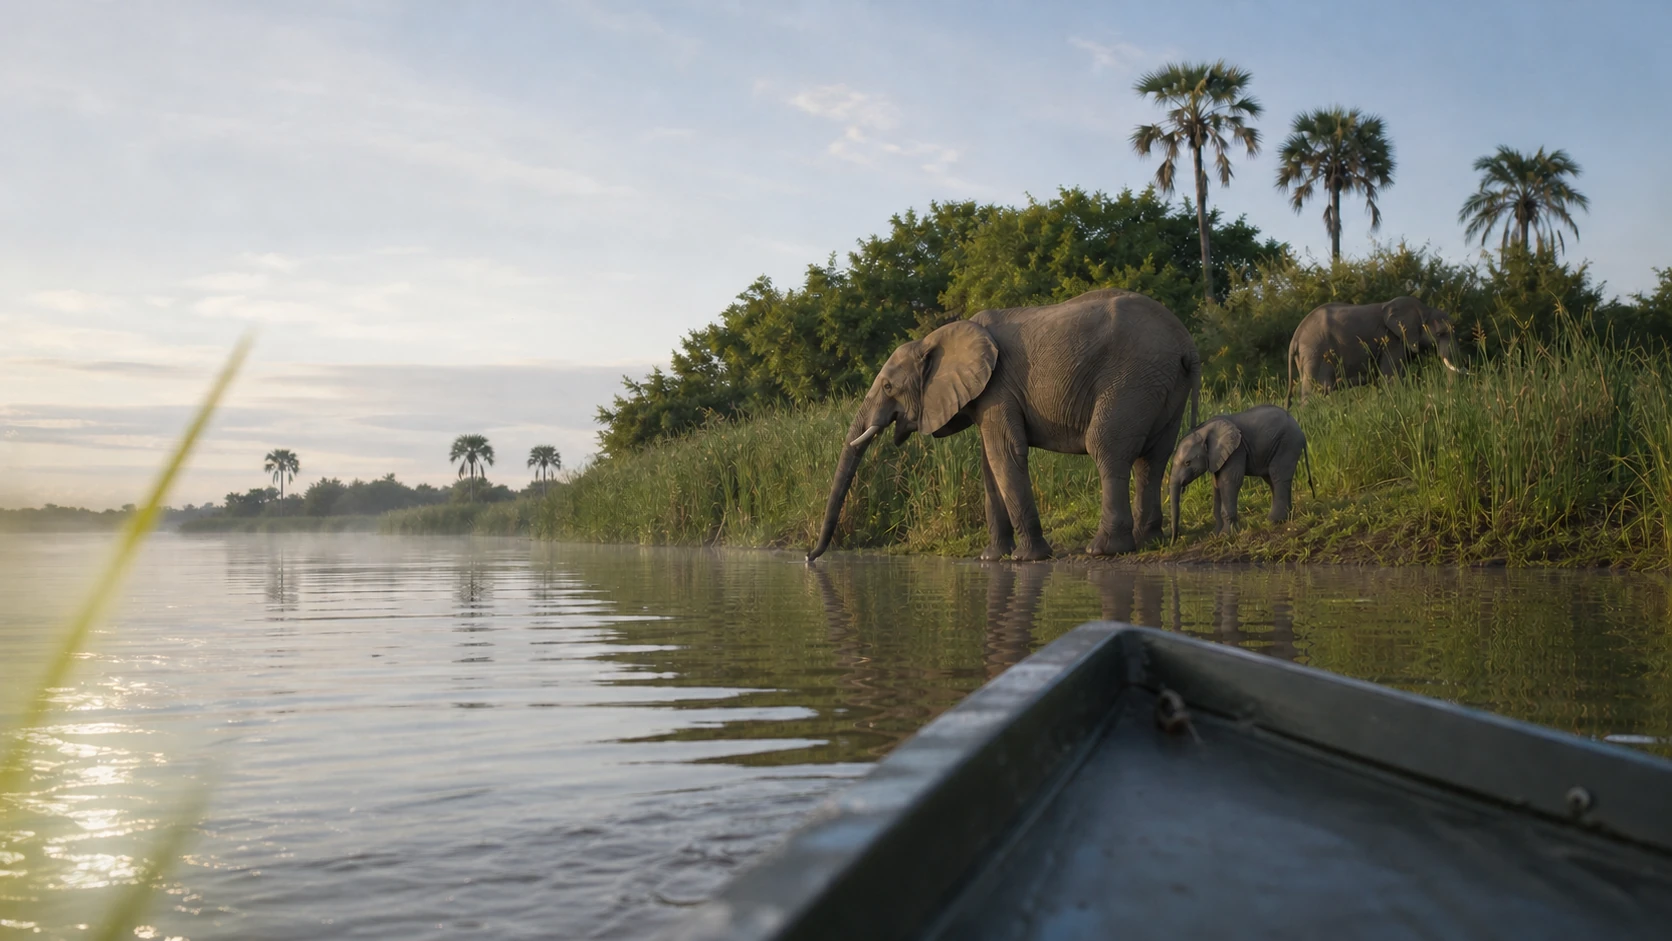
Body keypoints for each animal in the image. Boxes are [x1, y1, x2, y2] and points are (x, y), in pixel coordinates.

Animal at [806, 288, 1201, 563]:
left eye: (889, 387)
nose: (809, 558)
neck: (936, 337)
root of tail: (1186, 343)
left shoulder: (998, 387)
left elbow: (1004, 455)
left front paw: (1026, 559)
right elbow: (987, 464)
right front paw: (991, 558)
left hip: (1131, 380)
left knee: (1106, 448)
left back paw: (1103, 550)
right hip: (1162, 385)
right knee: (1153, 458)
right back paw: (1149, 541)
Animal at [1168, 404, 1313, 539]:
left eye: (1187, 463)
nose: (1176, 538)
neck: (1204, 429)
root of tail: (1300, 430)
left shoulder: (1237, 450)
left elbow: (1229, 482)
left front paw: (1226, 535)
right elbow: (1216, 485)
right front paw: (1214, 535)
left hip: (1288, 443)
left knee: (1277, 476)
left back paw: (1273, 521)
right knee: (1272, 479)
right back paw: (1285, 517)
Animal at [1285, 296, 1466, 408]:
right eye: (1440, 334)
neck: (1422, 309)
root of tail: (1295, 337)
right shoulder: (1391, 340)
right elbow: (1391, 377)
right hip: (1316, 352)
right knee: (1317, 391)